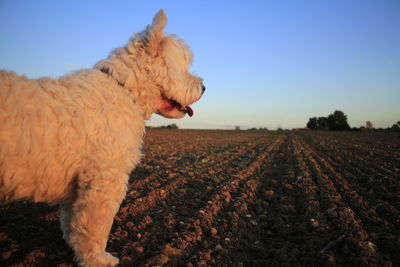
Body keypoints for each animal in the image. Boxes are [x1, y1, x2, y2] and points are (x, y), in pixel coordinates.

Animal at [0, 10, 205, 267]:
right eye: (184, 67)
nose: (204, 87)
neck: (123, 88)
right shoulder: (104, 179)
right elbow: (94, 227)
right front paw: (97, 259)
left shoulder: (77, 185)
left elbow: (72, 222)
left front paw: (73, 246)